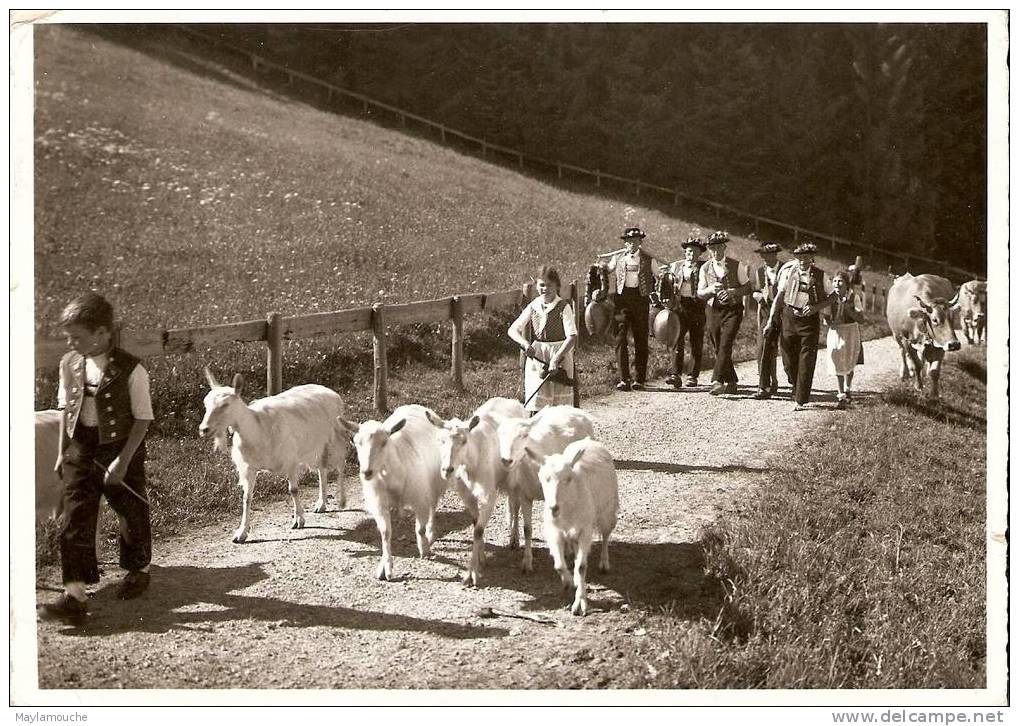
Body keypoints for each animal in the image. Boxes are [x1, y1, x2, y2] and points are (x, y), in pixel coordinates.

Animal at [198, 371, 350, 542]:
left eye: (225, 405)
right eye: (205, 404)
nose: (203, 429)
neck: (257, 428)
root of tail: (329, 390)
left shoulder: (291, 460)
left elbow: (293, 490)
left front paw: (298, 520)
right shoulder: (248, 468)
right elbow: (246, 498)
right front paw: (241, 532)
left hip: (336, 437)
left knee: (340, 466)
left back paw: (342, 500)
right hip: (317, 444)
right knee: (322, 470)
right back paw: (321, 504)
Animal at [340, 405, 448, 583]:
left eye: (384, 442)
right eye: (356, 442)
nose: (366, 472)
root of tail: (416, 405)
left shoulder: (420, 498)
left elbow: (420, 528)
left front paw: (424, 548)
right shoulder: (379, 504)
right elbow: (385, 533)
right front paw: (385, 568)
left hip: (436, 480)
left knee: (433, 504)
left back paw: (431, 533)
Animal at [427, 393, 529, 587]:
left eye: (464, 440)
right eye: (440, 440)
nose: (447, 469)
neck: (472, 461)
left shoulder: (489, 495)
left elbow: (479, 530)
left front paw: (471, 573)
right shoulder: (466, 495)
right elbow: (476, 523)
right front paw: (481, 558)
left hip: (514, 475)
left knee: (516, 504)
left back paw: (514, 538)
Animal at [495, 405, 595, 571]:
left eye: (524, 435)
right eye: (500, 435)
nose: (506, 460)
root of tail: (570, 407)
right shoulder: (524, 494)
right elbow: (527, 529)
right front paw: (527, 562)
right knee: (514, 508)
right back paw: (514, 539)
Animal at [529, 436, 615, 619]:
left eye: (568, 478)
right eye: (543, 478)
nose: (553, 508)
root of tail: (588, 440)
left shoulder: (585, 530)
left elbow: (582, 567)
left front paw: (580, 603)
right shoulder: (554, 532)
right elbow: (559, 565)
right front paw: (568, 581)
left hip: (608, 510)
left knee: (605, 535)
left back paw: (604, 562)